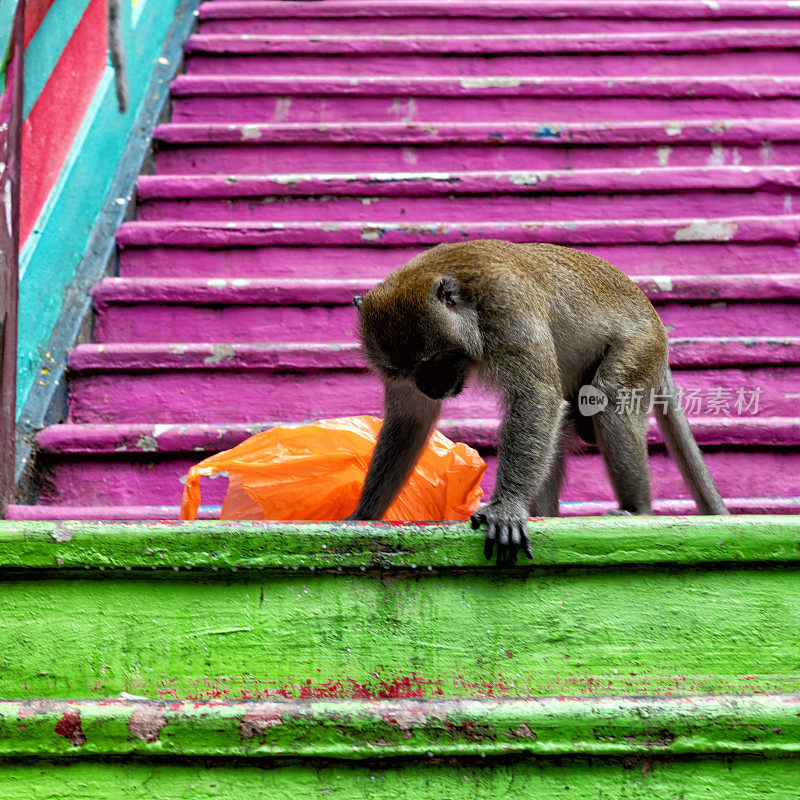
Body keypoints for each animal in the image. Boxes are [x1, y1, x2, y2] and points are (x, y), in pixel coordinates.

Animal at [346, 241, 728, 564]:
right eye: (401, 372)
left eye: (429, 361)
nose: (428, 388)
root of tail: (653, 316)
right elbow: (410, 421)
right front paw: (361, 516)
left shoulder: (506, 307)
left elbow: (536, 395)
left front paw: (507, 508)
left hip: (641, 347)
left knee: (609, 398)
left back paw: (637, 510)